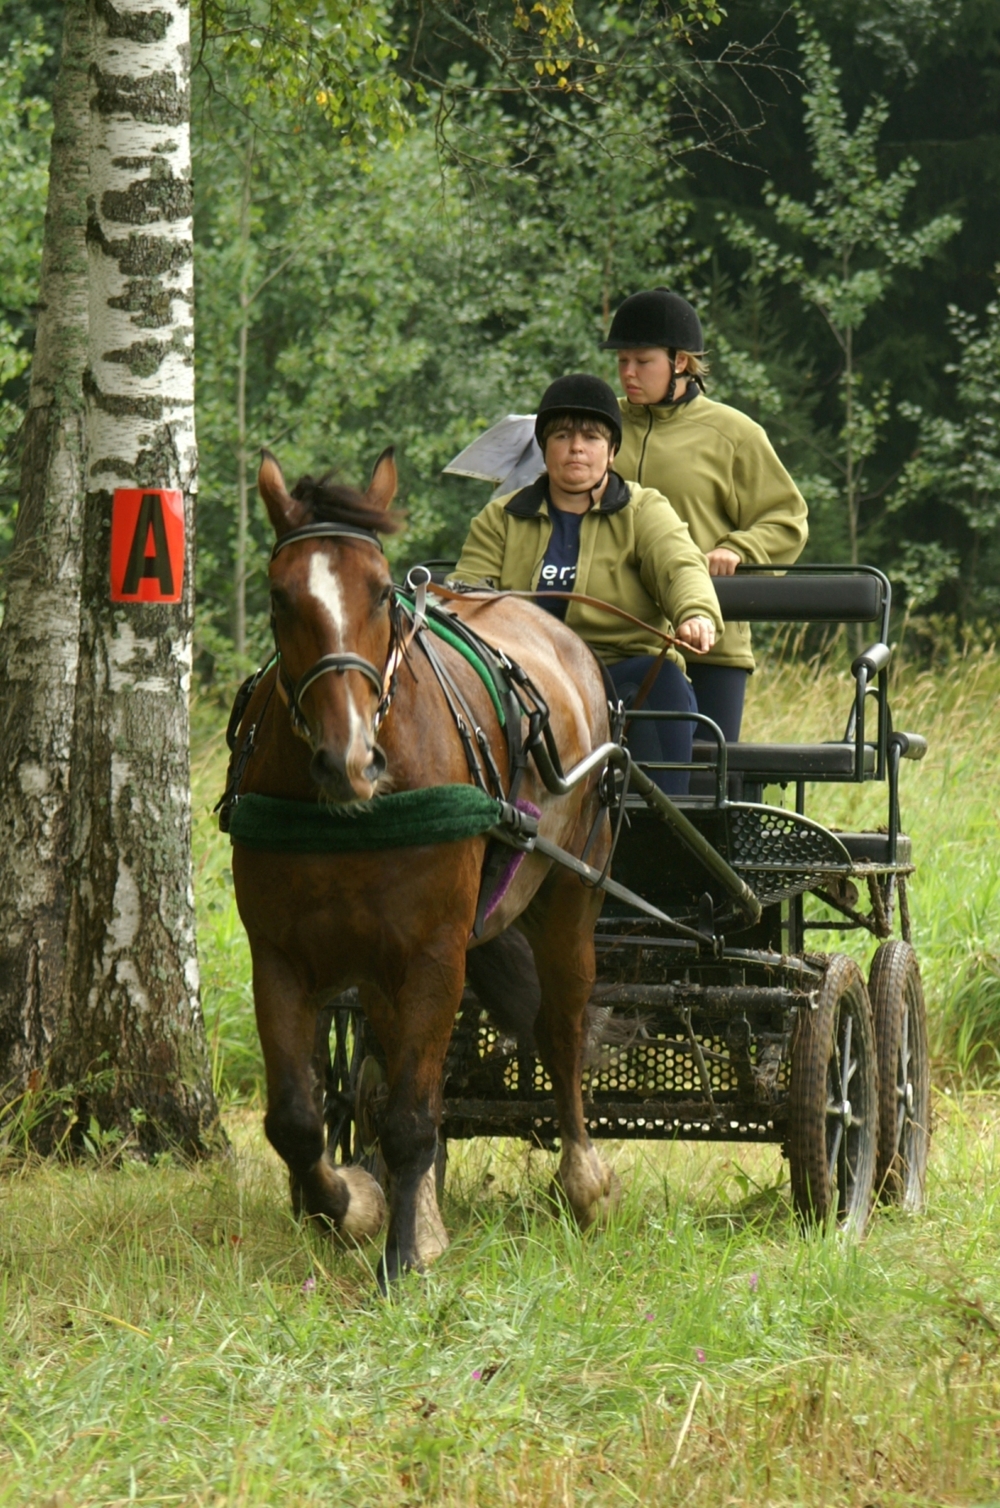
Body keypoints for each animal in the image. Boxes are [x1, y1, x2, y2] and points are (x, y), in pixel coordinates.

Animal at [233, 446, 621, 1284]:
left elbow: (413, 1114)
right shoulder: (277, 953)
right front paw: (354, 1204)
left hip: (570, 894)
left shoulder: (435, 951)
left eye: (382, 592)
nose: (348, 758)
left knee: (563, 1025)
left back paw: (582, 1179)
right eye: (281, 597)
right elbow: (297, 1119)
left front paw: (405, 1252)